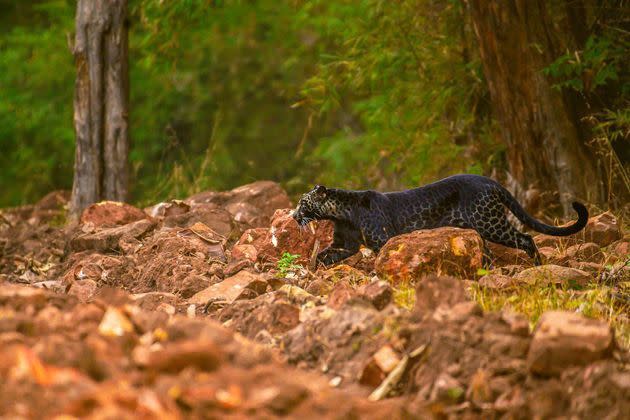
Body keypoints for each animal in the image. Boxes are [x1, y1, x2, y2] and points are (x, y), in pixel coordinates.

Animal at [294, 173, 592, 266]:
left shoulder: (382, 239)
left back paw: (538, 265)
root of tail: (490, 181)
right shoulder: (345, 244)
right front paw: (313, 266)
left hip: (490, 223)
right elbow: (327, 254)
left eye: (302, 203)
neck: (342, 213)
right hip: (480, 228)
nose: (294, 215)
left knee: (526, 237)